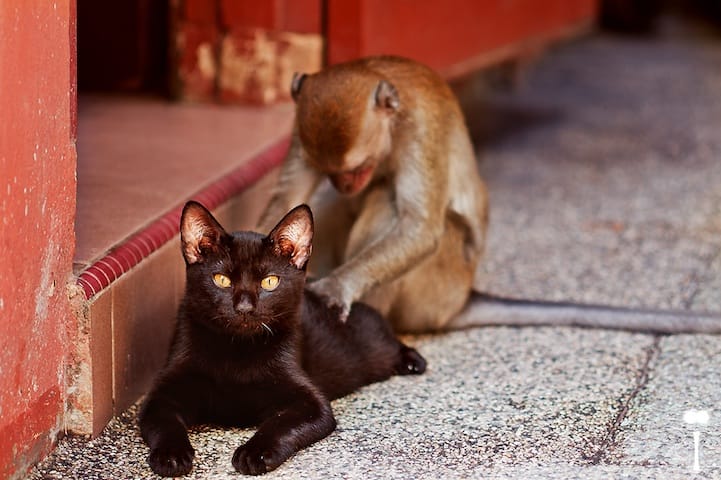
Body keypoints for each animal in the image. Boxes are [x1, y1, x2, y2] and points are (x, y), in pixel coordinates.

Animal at [258, 55, 721, 336]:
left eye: (356, 168)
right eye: (332, 172)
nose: (344, 184)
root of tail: (463, 298)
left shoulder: (421, 127)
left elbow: (420, 228)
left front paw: (338, 287)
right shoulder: (300, 132)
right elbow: (287, 197)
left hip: (437, 288)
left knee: (387, 204)